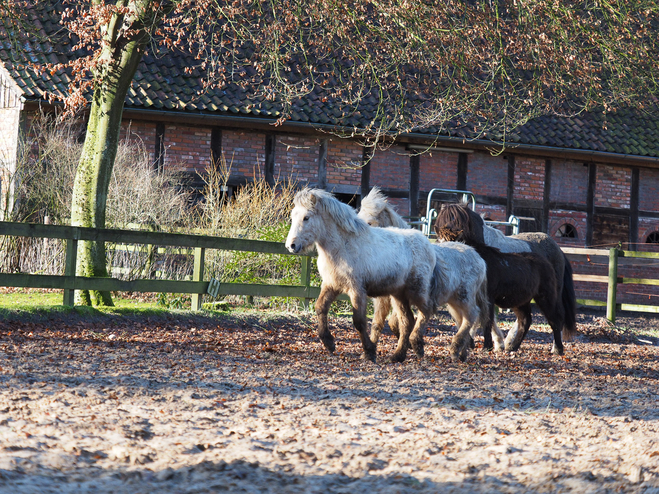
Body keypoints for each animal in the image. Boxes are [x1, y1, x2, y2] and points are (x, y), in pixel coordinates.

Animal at [284, 187, 444, 360]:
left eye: (306, 217)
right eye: (293, 216)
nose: (291, 245)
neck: (343, 246)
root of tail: (428, 244)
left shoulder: (357, 290)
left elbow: (359, 321)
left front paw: (369, 351)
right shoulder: (331, 285)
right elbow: (320, 308)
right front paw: (329, 343)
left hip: (416, 291)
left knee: (426, 311)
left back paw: (417, 345)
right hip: (398, 295)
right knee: (407, 320)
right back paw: (398, 355)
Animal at [358, 187, 492, 360]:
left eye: (369, 222)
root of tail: (478, 258)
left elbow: (400, 321)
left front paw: (412, 345)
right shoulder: (384, 300)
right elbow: (379, 323)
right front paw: (371, 352)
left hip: (464, 296)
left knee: (472, 315)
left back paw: (455, 348)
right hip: (454, 302)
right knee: (463, 319)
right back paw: (461, 352)